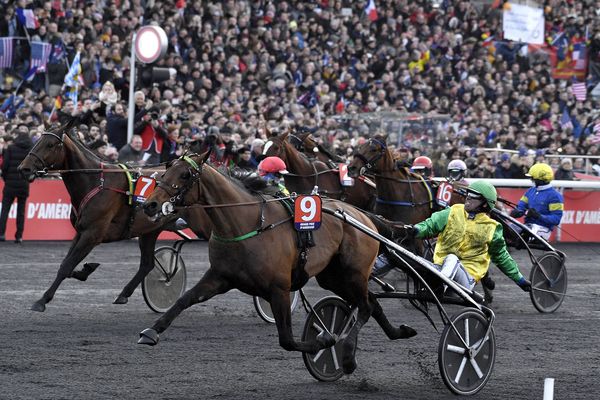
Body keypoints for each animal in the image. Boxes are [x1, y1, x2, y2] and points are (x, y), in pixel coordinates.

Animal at [17, 122, 213, 312]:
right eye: (36, 141)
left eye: (50, 144)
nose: (24, 168)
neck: (96, 183)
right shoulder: (81, 232)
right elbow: (67, 264)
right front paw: (86, 269)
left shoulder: (92, 234)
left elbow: (66, 266)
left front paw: (42, 301)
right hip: (150, 230)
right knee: (147, 264)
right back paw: (126, 293)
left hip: (203, 226)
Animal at [138, 152, 414, 374]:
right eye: (166, 169)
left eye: (185, 174)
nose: (150, 204)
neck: (246, 224)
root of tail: (362, 215)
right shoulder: (219, 277)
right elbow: (184, 300)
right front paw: (151, 331)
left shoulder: (279, 289)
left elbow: (287, 340)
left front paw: (324, 341)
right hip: (334, 277)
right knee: (372, 303)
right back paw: (399, 332)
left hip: (354, 272)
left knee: (365, 306)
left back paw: (347, 355)